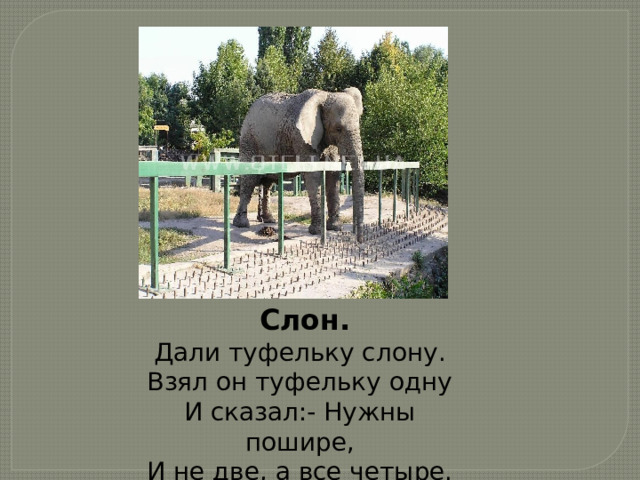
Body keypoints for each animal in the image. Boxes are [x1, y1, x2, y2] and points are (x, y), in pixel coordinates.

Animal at [232, 87, 365, 242]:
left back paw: (269, 220)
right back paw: (241, 224)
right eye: (338, 128)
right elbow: (313, 176)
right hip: (249, 141)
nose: (359, 240)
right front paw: (317, 231)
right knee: (249, 179)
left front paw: (336, 228)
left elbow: (332, 175)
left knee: (267, 182)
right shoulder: (301, 139)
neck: (327, 94)